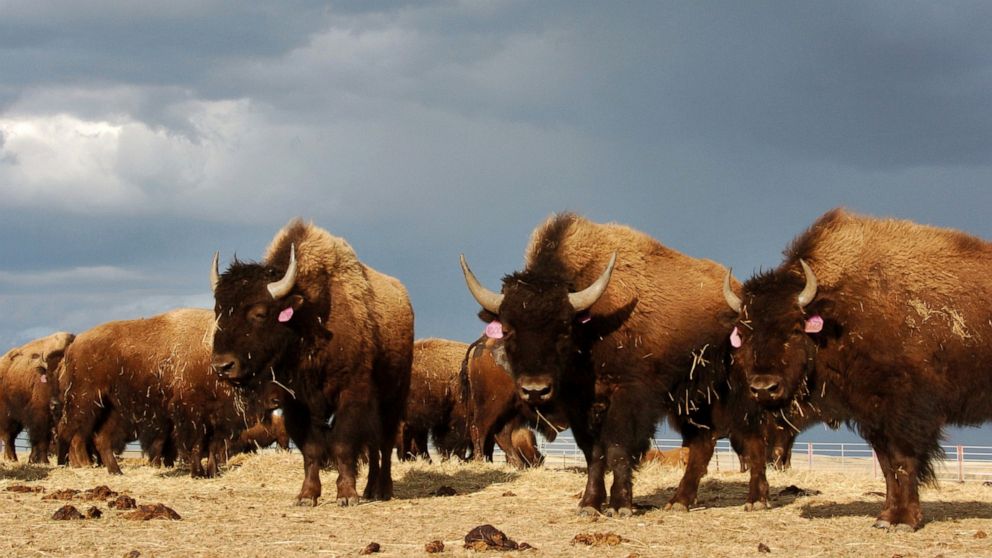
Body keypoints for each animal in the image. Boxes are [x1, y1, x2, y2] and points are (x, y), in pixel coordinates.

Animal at [0, 332, 74, 464]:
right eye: (48, 376)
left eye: (63, 375)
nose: (54, 404)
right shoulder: (41, 416)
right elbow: (42, 439)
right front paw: (44, 461)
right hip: (8, 415)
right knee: (8, 436)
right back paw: (12, 459)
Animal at [207, 219, 412, 508]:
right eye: (218, 310)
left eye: (260, 313)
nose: (223, 366)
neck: (308, 318)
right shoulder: (296, 403)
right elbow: (311, 449)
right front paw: (307, 496)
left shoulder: (350, 393)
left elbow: (342, 444)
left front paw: (347, 495)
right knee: (373, 446)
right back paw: (371, 489)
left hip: (393, 398)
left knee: (383, 443)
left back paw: (382, 490)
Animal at [462, 213, 772, 516]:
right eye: (507, 329)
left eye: (564, 328)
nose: (535, 389)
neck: (591, 324)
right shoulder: (580, 407)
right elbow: (594, 454)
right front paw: (589, 505)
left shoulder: (628, 396)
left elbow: (618, 448)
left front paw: (620, 505)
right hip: (692, 402)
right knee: (702, 444)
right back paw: (679, 502)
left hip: (737, 395)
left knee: (753, 440)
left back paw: (756, 500)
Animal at [720, 208, 992, 532]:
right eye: (744, 332)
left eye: (795, 328)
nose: (764, 387)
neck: (842, 310)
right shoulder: (872, 418)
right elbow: (887, 467)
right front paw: (885, 517)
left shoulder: (906, 415)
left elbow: (904, 462)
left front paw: (904, 520)